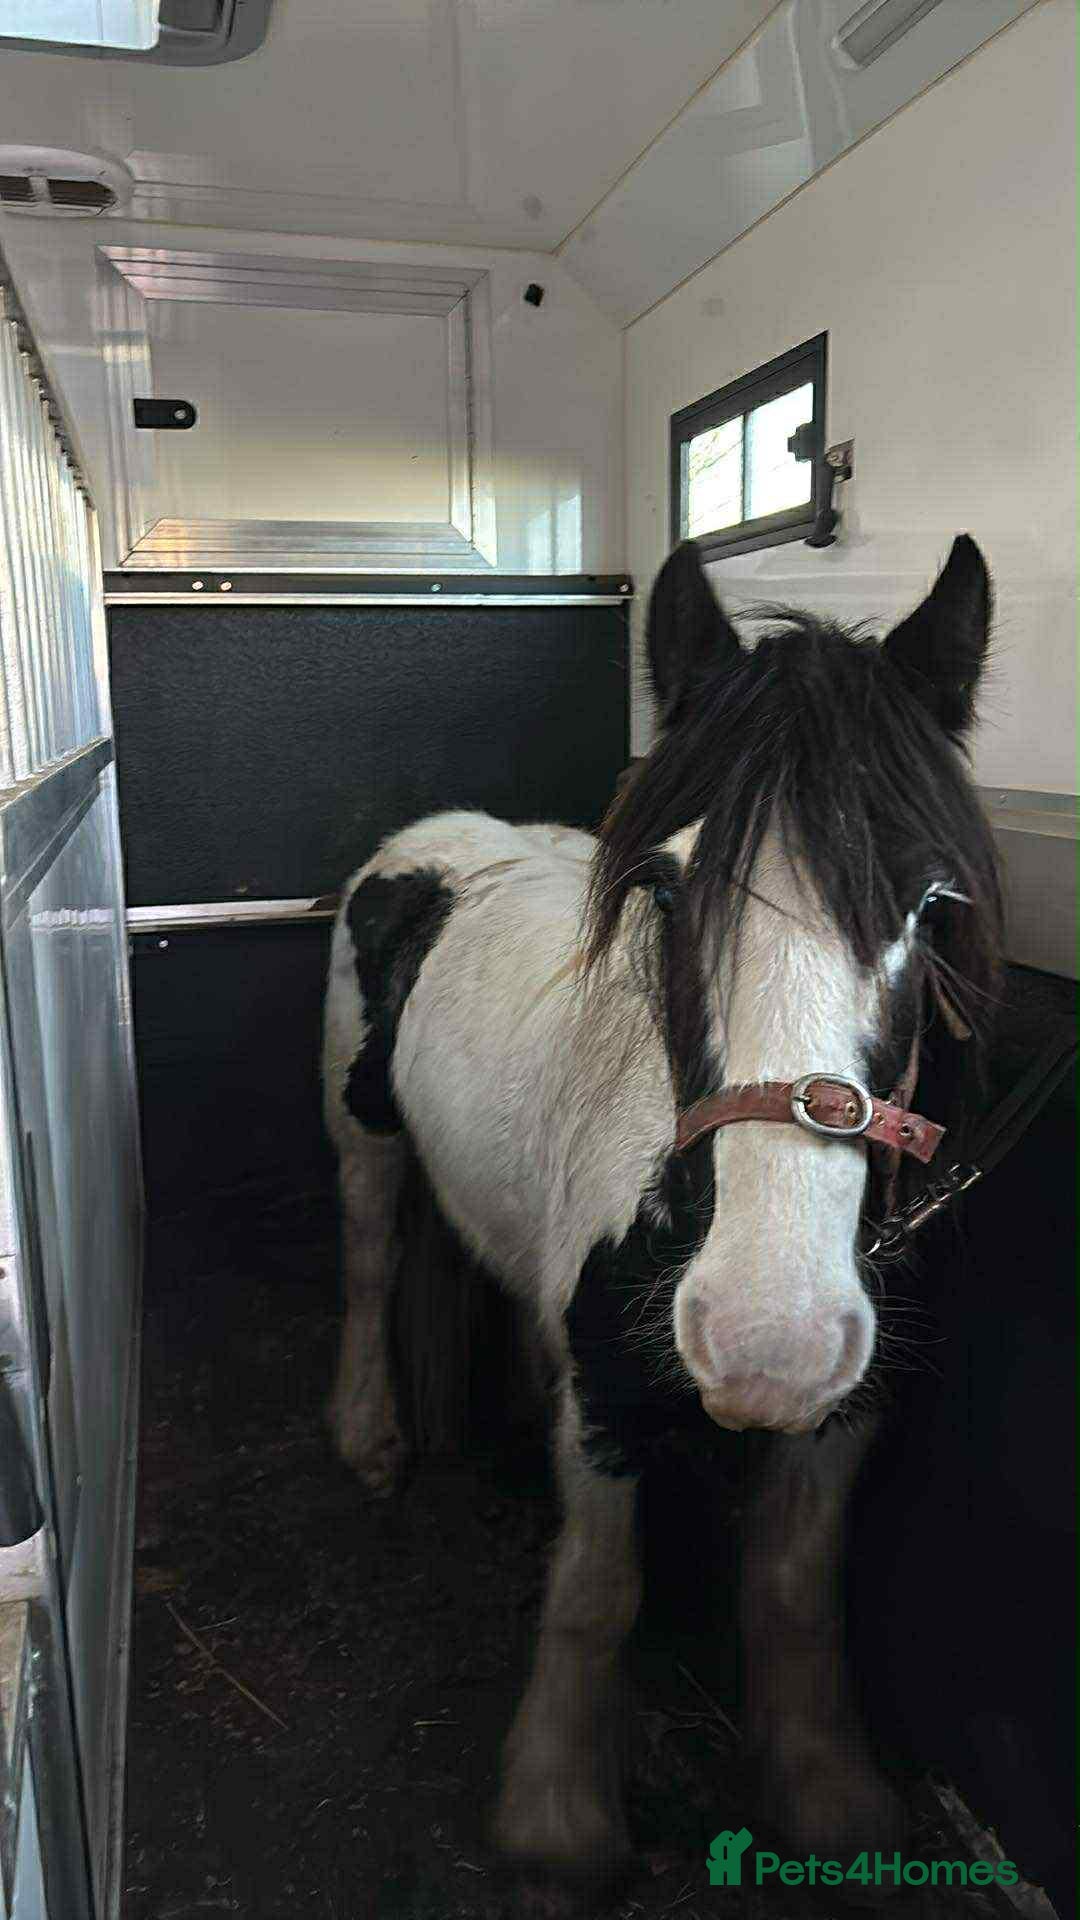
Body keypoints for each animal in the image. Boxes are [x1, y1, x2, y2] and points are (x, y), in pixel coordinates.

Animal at [320, 534, 1002, 1877]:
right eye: (672, 895)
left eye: (928, 907)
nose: (765, 1340)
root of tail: (429, 840)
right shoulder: (607, 1395)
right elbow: (597, 1592)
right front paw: (555, 1817)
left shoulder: (848, 1406)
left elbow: (793, 1591)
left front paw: (827, 1790)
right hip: (361, 1129)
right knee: (369, 1258)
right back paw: (370, 1436)